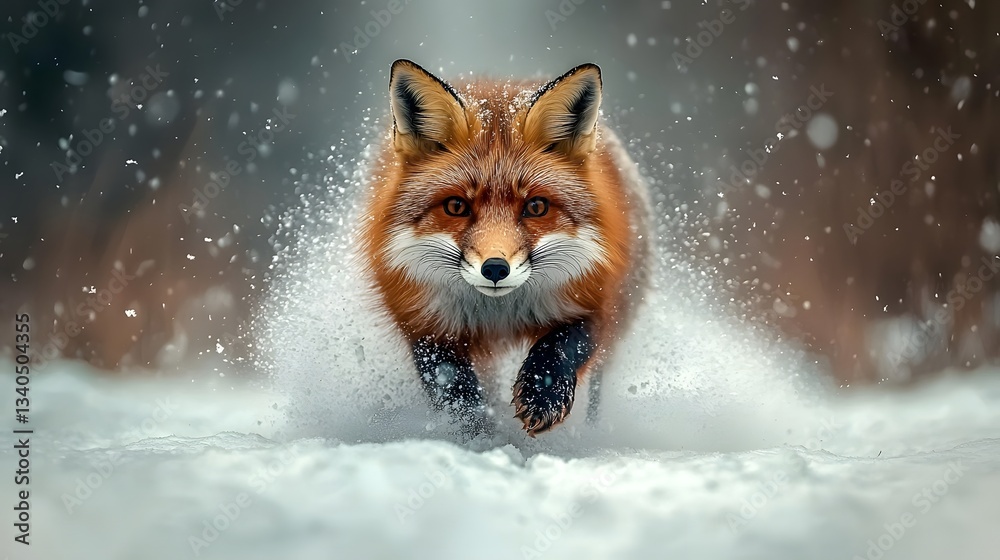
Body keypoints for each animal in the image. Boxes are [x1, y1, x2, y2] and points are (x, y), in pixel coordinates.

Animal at [360, 59, 652, 436]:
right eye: (456, 206)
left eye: (536, 207)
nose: (496, 268)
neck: (500, 316)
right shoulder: (423, 325)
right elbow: (456, 391)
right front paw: (479, 435)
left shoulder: (597, 302)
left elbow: (562, 347)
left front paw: (543, 396)